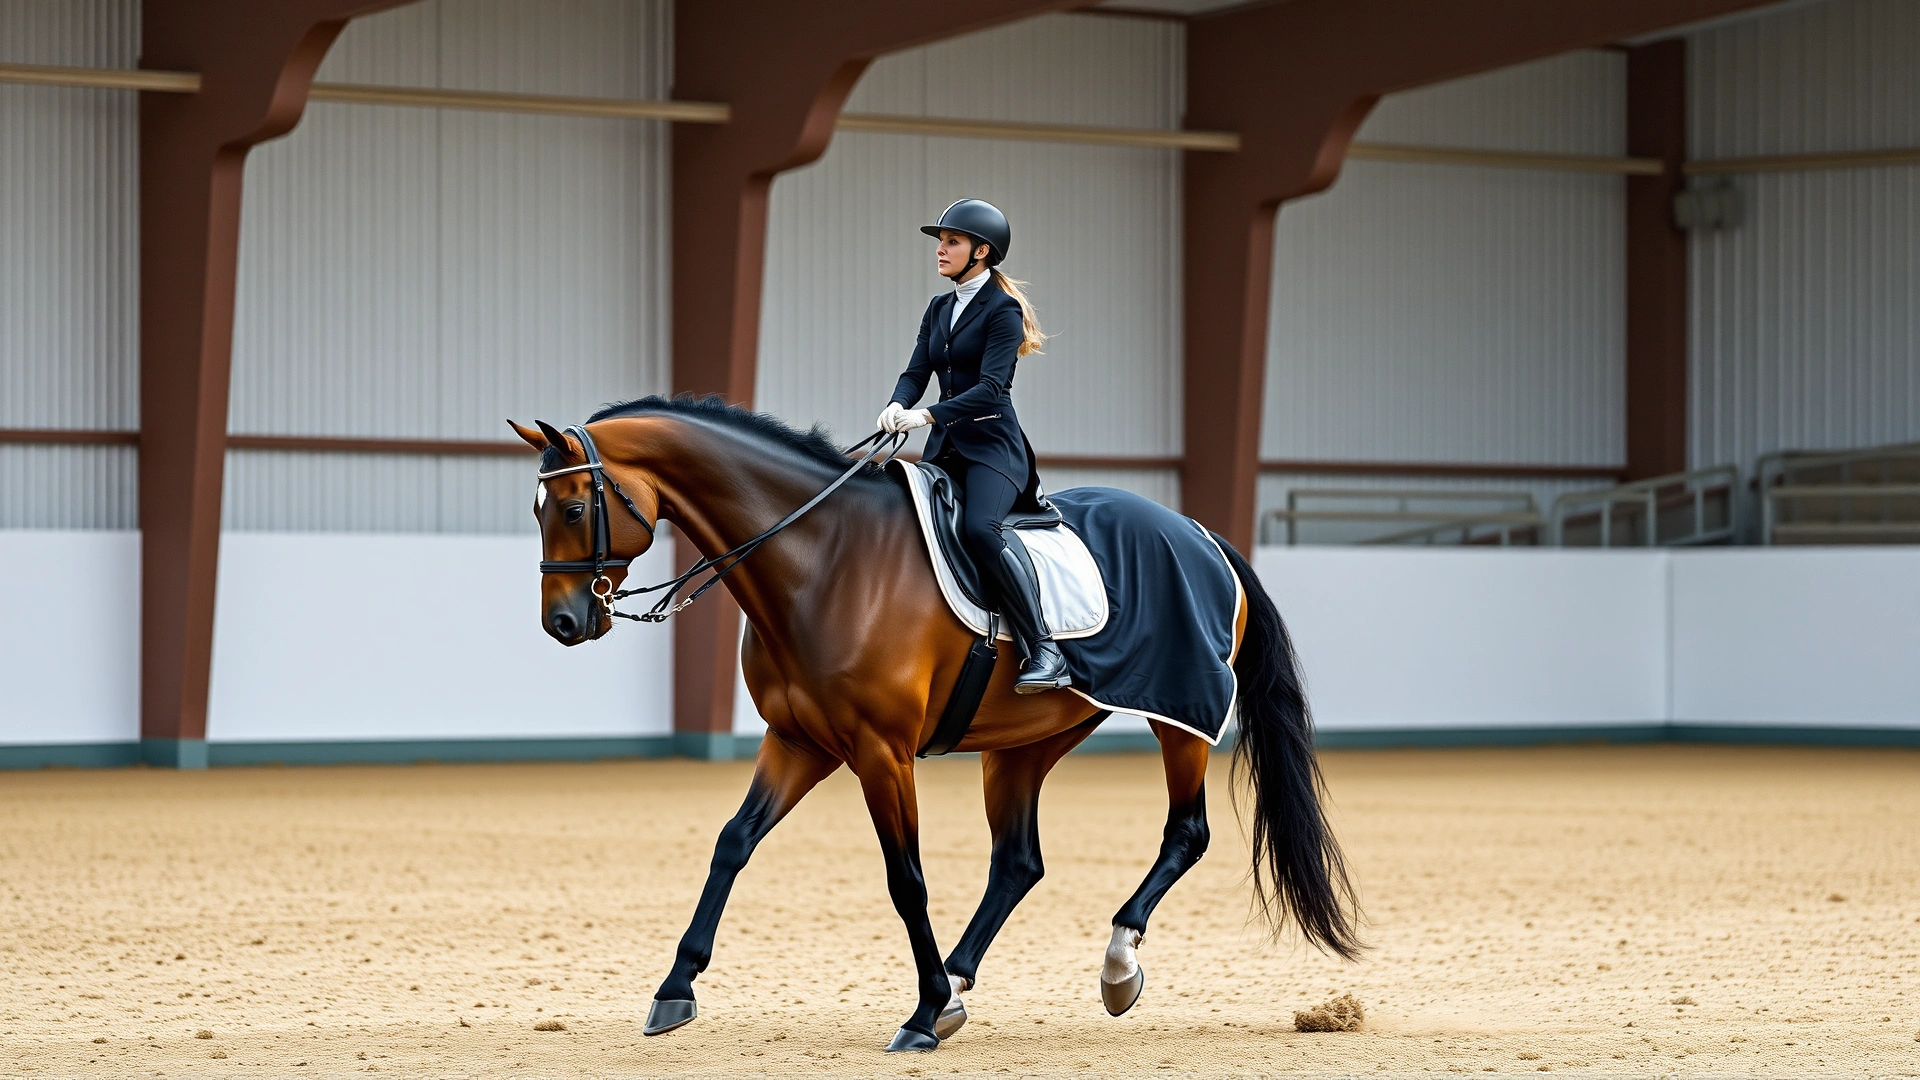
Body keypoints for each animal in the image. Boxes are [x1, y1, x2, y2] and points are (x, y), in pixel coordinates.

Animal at [509, 394, 1360, 1052]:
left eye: (575, 506)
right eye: (539, 508)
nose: (563, 622)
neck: (820, 558)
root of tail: (1204, 535)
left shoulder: (879, 752)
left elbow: (905, 877)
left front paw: (921, 1016)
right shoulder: (799, 742)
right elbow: (732, 843)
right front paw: (675, 988)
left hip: (1176, 717)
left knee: (1185, 832)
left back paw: (1114, 966)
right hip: (1026, 741)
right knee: (1018, 861)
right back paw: (959, 977)